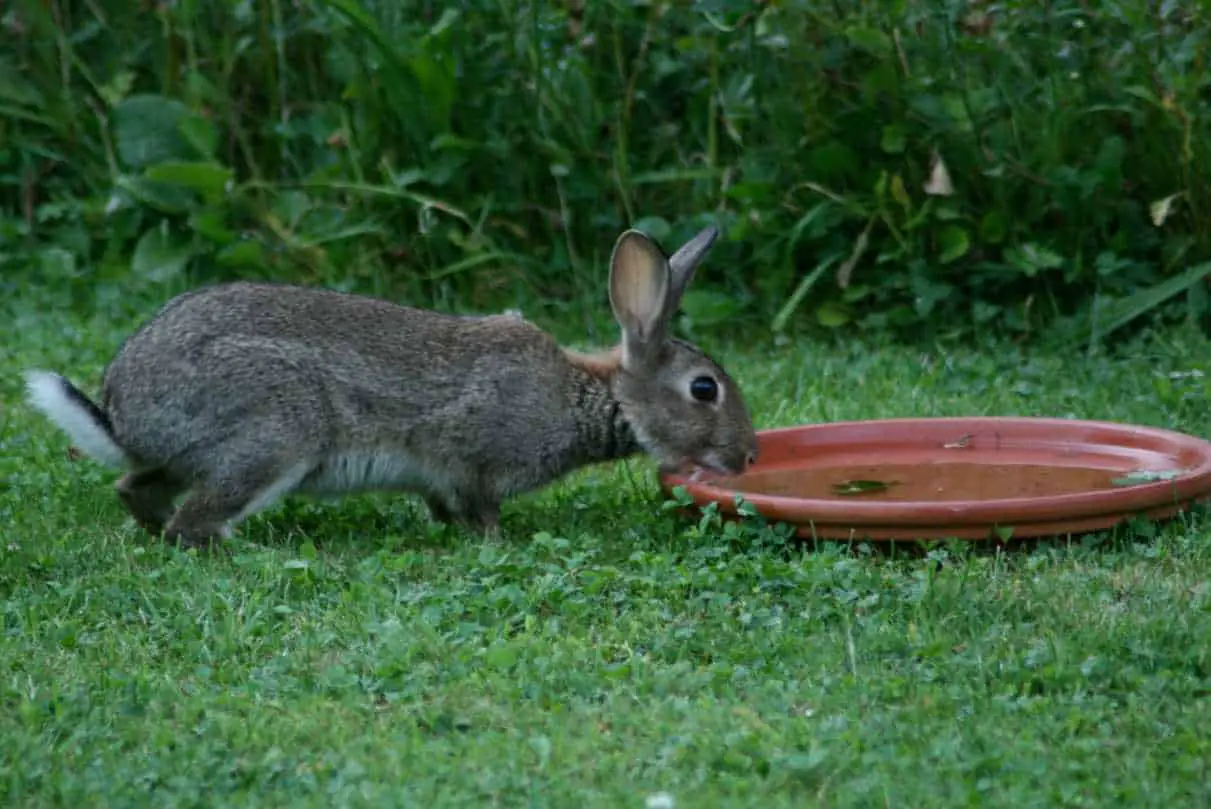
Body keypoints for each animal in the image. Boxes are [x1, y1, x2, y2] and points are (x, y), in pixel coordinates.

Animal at [23, 224, 755, 547]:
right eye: (704, 390)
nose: (748, 456)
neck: (590, 393)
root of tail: (125, 411)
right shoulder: (474, 458)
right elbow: (480, 507)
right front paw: (494, 543)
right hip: (274, 435)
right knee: (192, 520)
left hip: (195, 454)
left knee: (138, 489)